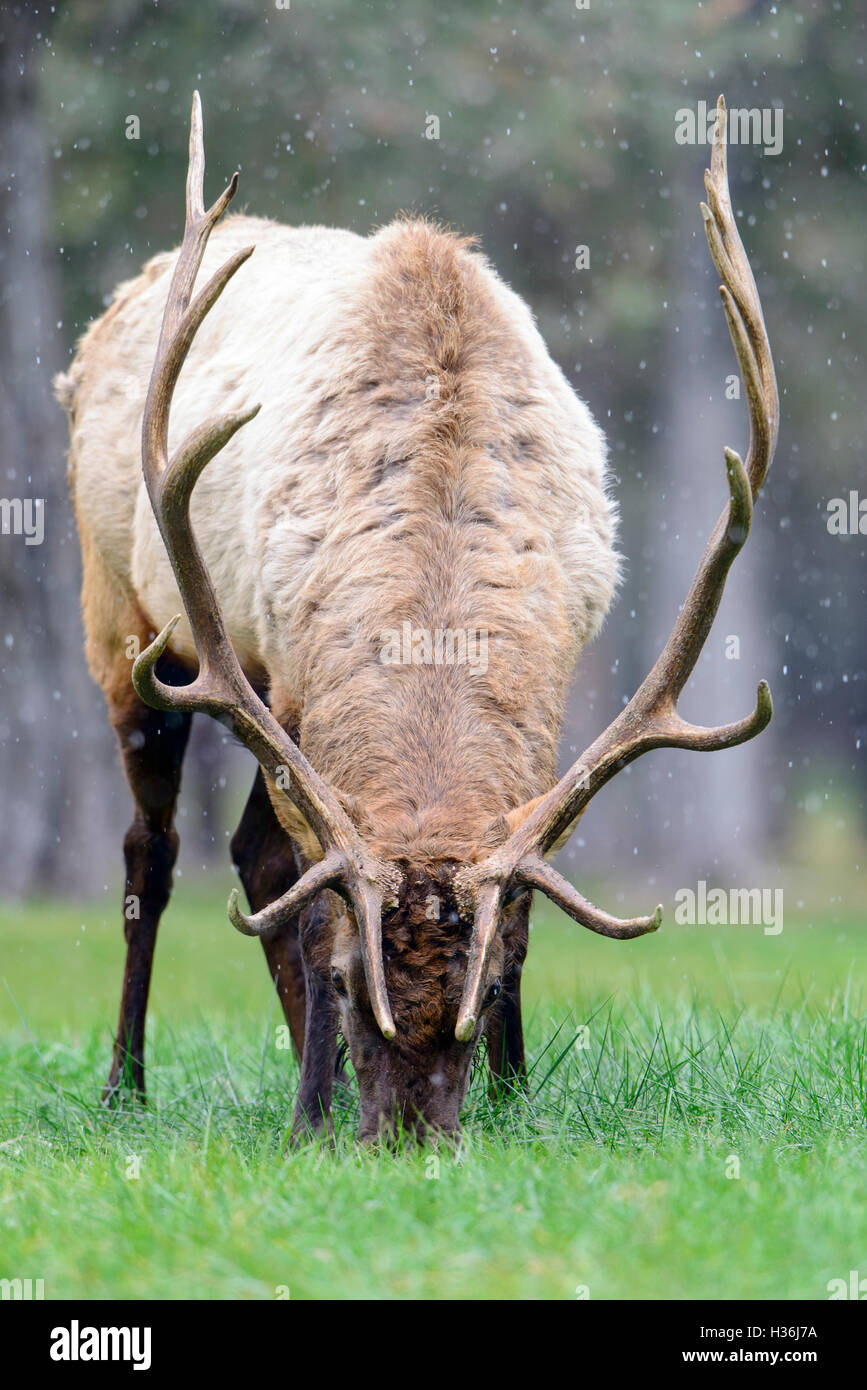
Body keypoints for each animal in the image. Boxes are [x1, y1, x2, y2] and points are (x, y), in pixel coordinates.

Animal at [55, 94, 777, 1143]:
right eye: (351, 987)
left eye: (483, 1000)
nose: (406, 1137)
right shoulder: (287, 676)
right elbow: (310, 901)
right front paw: (311, 1117)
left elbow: (514, 898)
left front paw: (516, 1093)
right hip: (124, 621)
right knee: (155, 850)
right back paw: (130, 1087)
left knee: (252, 854)